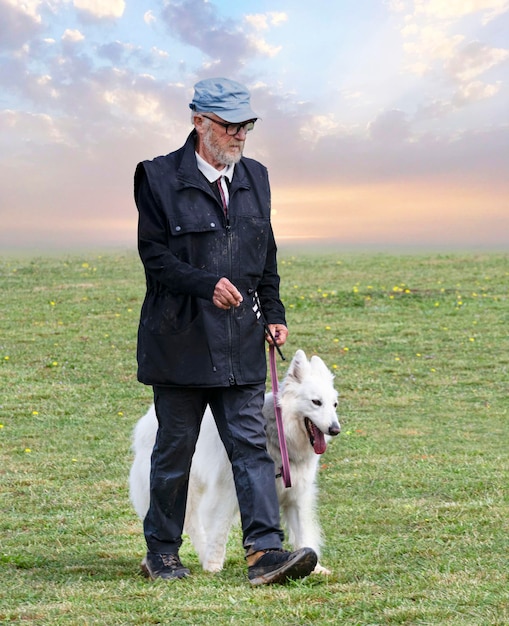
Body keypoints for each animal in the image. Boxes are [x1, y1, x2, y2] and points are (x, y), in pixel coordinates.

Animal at [129, 348, 340, 572]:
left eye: (334, 404)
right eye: (316, 402)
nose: (336, 429)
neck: (278, 437)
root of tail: (148, 417)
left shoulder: (296, 495)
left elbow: (303, 532)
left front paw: (313, 566)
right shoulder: (227, 491)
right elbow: (220, 527)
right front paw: (213, 564)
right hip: (183, 487)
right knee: (191, 523)